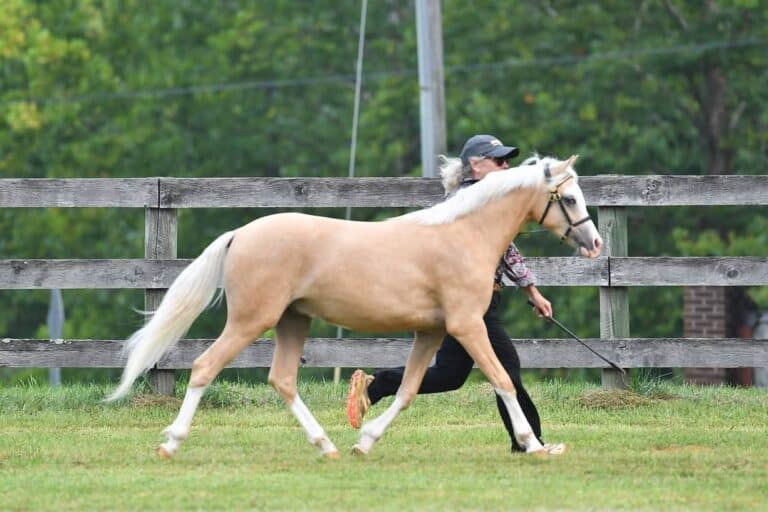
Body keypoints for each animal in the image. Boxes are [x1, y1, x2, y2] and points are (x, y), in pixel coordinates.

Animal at [106, 154, 602, 459]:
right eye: (570, 198)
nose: (595, 244)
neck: (462, 235)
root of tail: (240, 234)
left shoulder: (431, 332)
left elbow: (407, 390)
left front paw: (365, 440)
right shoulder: (466, 326)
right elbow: (502, 379)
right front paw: (534, 445)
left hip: (293, 321)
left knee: (282, 380)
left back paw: (327, 445)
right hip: (252, 320)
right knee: (205, 367)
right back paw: (171, 444)